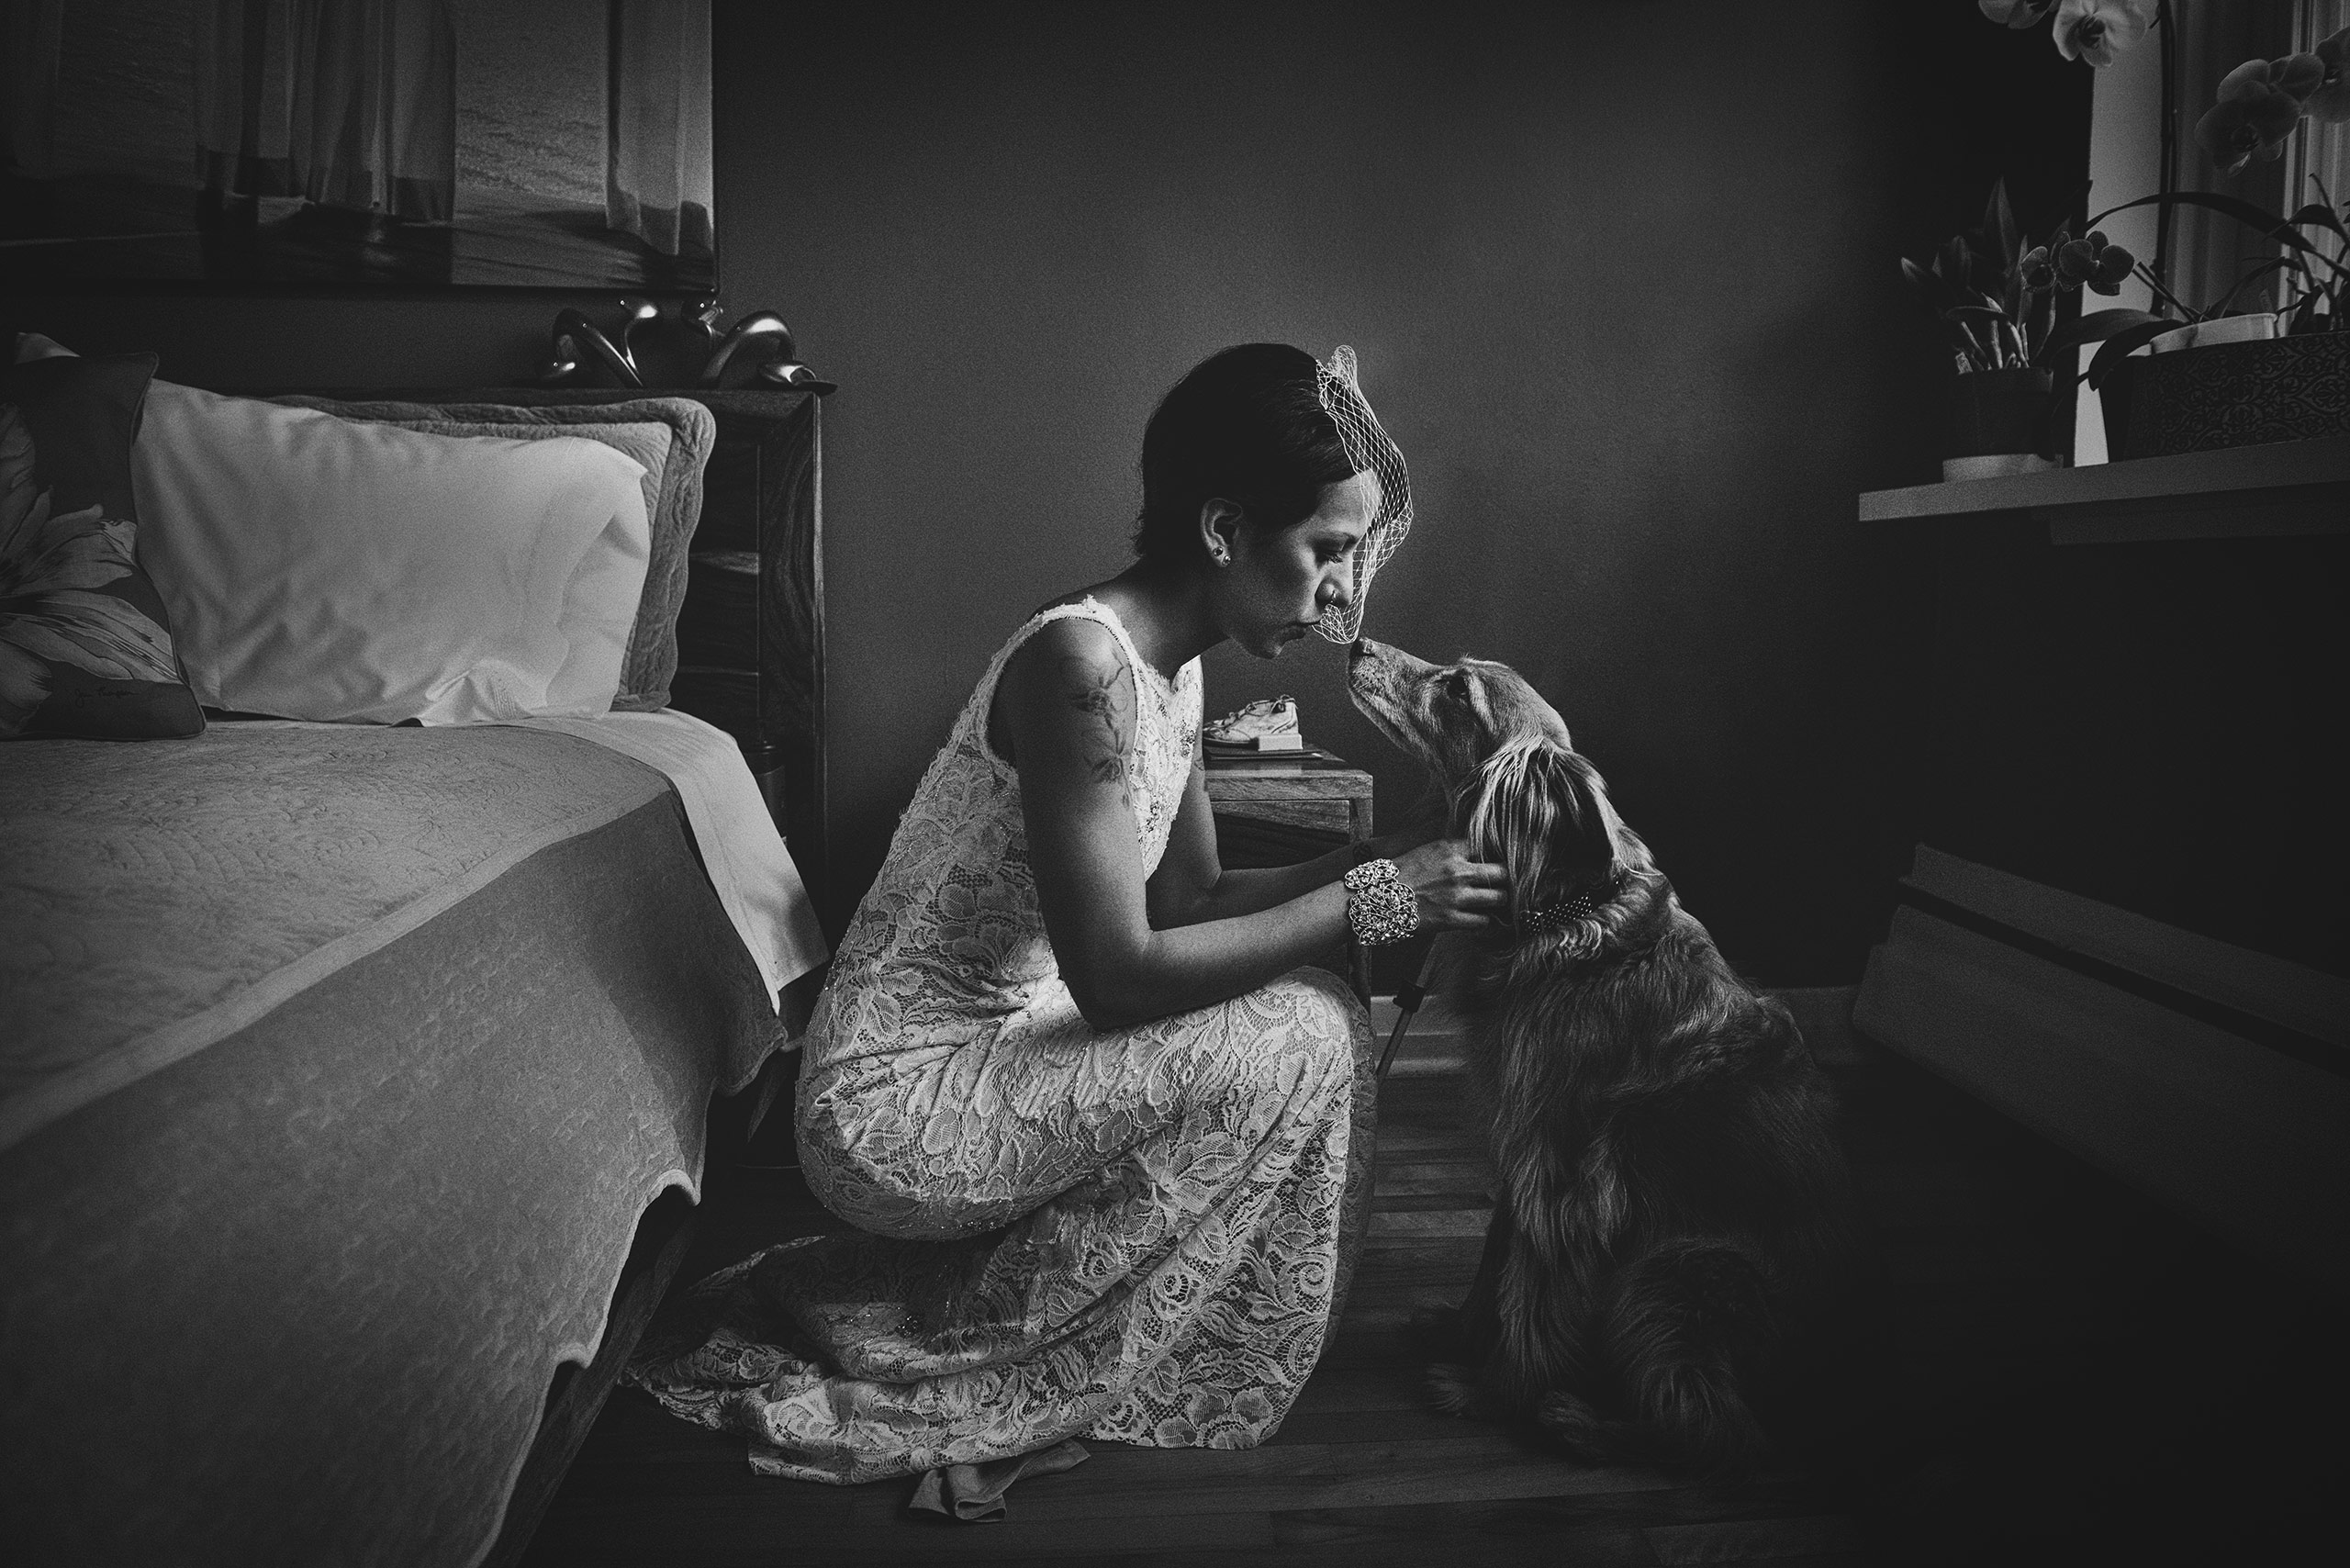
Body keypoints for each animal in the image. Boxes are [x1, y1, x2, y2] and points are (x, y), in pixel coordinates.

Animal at [1353, 639, 1842, 1476]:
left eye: (1456, 691)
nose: (1355, 644)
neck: (1555, 916)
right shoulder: (1521, 1148)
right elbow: (1495, 1266)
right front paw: (1461, 1332)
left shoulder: (1563, 1175)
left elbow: (1532, 1297)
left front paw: (1494, 1392)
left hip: (1670, 1276)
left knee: (1727, 1437)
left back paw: (1580, 1422)